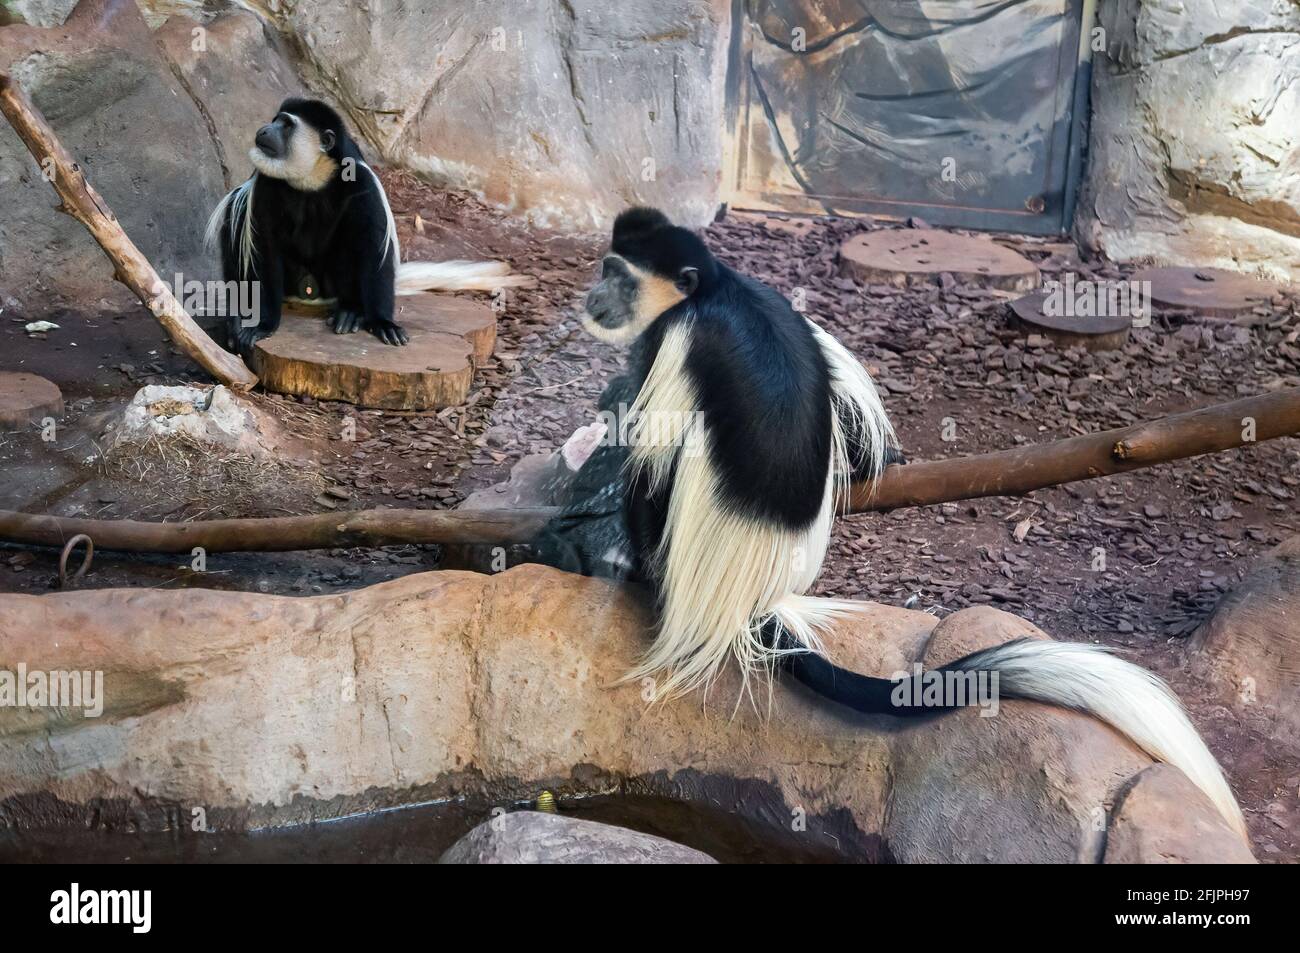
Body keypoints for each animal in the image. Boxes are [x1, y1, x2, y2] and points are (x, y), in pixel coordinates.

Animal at [205, 97, 528, 355]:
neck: (311, 177)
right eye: (275, 120)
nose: (264, 130)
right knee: (235, 216)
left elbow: (373, 247)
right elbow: (265, 251)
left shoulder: (362, 182)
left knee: (352, 242)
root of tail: (309, 294)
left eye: (285, 125)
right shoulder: (265, 186)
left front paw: (383, 322)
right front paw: (261, 324)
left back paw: (351, 313)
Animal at [580, 207, 1245, 838]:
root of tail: (757, 601)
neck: (718, 290)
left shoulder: (677, 338)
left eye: (618, 275)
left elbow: (649, 463)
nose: (593, 296)